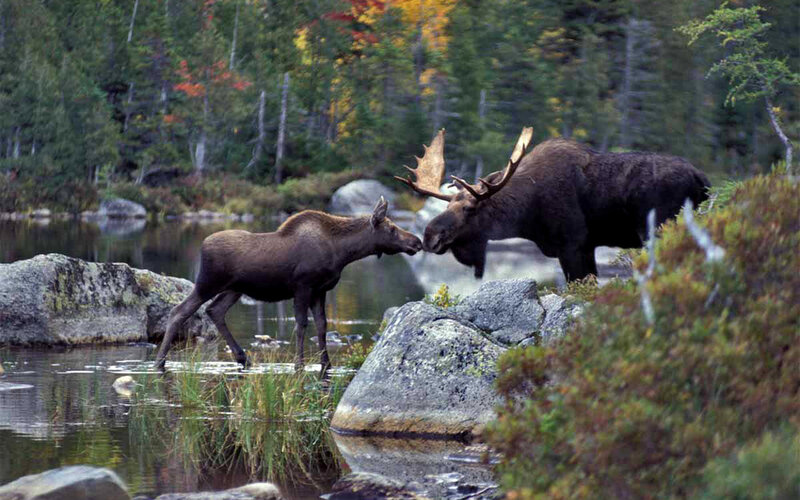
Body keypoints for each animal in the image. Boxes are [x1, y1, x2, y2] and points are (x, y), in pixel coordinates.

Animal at [154, 197, 422, 371]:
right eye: (392, 228)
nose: (417, 242)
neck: (342, 252)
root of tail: (202, 246)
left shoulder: (321, 290)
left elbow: (322, 325)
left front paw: (326, 362)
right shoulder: (302, 287)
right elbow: (302, 325)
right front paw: (299, 363)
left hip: (234, 289)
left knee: (214, 310)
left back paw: (243, 358)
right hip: (207, 283)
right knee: (179, 311)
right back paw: (159, 361)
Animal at [396, 129, 710, 282]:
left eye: (469, 209)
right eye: (447, 205)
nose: (429, 236)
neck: (527, 216)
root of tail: (702, 179)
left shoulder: (573, 244)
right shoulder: (586, 247)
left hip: (661, 228)